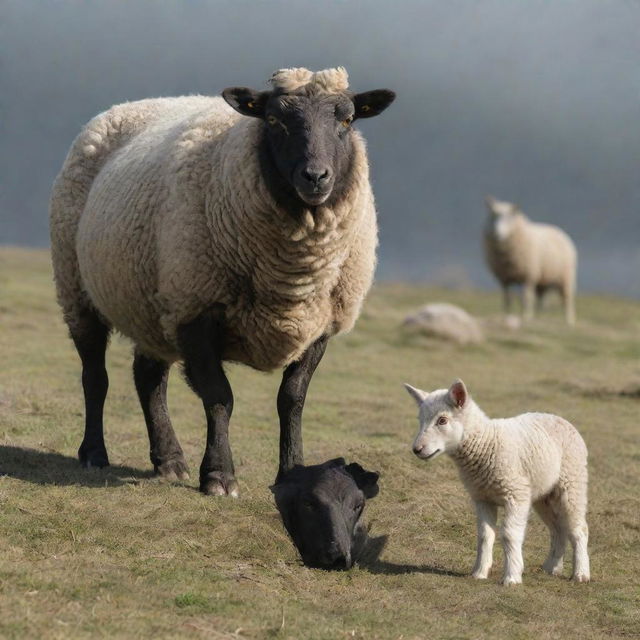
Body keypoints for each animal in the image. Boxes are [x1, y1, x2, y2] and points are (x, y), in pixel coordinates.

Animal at [52, 65, 396, 504]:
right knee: (95, 376)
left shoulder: (321, 325)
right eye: (273, 120)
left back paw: (169, 459)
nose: (316, 177)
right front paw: (218, 476)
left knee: (148, 379)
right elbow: (220, 396)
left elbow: (292, 400)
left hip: (153, 303)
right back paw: (95, 453)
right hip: (77, 287)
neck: (292, 275)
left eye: (348, 120)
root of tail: (124, 107)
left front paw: (291, 473)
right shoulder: (196, 309)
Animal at [404, 380, 592, 584]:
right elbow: (485, 535)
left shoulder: (515, 494)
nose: (417, 449)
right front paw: (479, 572)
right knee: (557, 529)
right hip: (544, 493)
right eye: (420, 419)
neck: (485, 443)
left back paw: (581, 573)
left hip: (572, 481)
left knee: (579, 528)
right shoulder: (482, 497)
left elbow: (509, 535)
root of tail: (560, 419)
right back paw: (552, 567)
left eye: (442, 420)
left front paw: (512, 576)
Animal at [482, 195, 576, 324]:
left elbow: (526, 298)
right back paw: (540, 316)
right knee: (542, 299)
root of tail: (558, 230)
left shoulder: (528, 276)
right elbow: (507, 299)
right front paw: (507, 315)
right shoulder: (504, 279)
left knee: (567, 299)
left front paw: (526, 316)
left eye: (509, 218)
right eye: (492, 217)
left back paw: (569, 320)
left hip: (565, 277)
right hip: (543, 281)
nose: (497, 234)